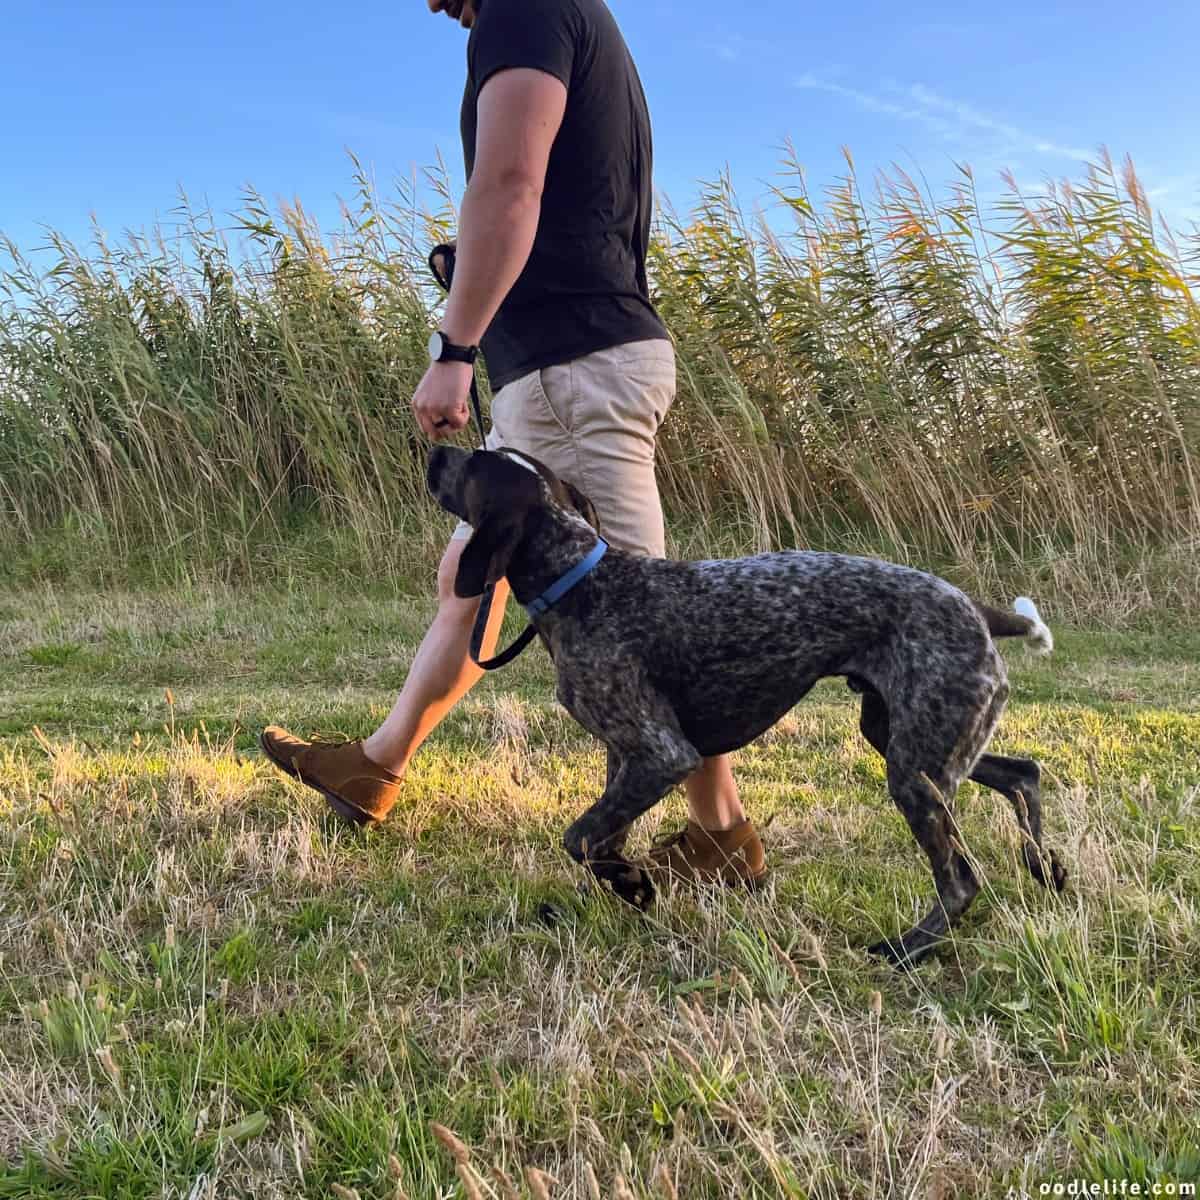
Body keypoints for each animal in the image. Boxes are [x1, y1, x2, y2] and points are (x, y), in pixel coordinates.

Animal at [427, 448, 1065, 964]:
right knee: (1023, 774)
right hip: (907, 738)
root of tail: (976, 609)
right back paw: (1045, 866)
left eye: (475, 464)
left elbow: (580, 838)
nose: (436, 448)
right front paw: (624, 884)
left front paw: (635, 885)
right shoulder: (624, 757)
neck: (582, 580)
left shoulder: (661, 755)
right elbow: (601, 839)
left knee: (961, 880)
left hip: (915, 767)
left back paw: (906, 950)